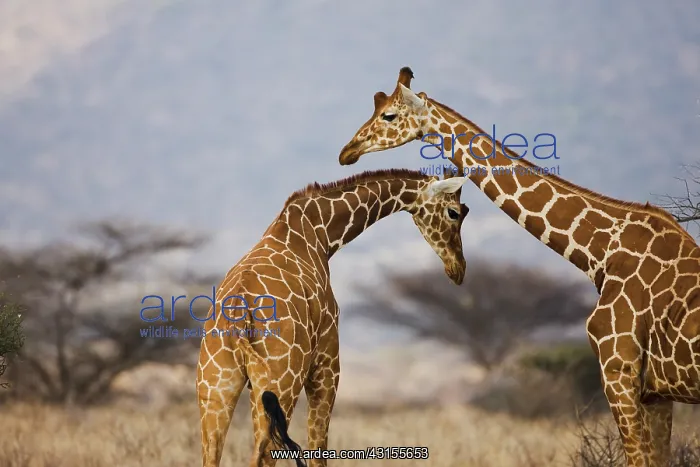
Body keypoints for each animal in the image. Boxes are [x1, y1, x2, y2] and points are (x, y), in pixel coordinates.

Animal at [197, 168, 470, 467]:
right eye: (455, 212)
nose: (458, 268)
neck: (320, 232)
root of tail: (239, 316)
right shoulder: (327, 363)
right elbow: (318, 447)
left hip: (216, 386)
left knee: (213, 452)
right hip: (281, 382)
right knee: (264, 453)